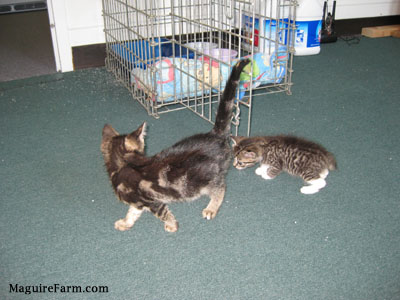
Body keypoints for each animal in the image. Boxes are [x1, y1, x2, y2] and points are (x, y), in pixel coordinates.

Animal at [101, 58, 250, 232]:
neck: (123, 164)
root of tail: (215, 134)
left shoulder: (151, 202)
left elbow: (163, 213)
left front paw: (171, 225)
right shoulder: (138, 202)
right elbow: (132, 212)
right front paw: (125, 223)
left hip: (205, 180)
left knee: (221, 188)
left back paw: (211, 208)